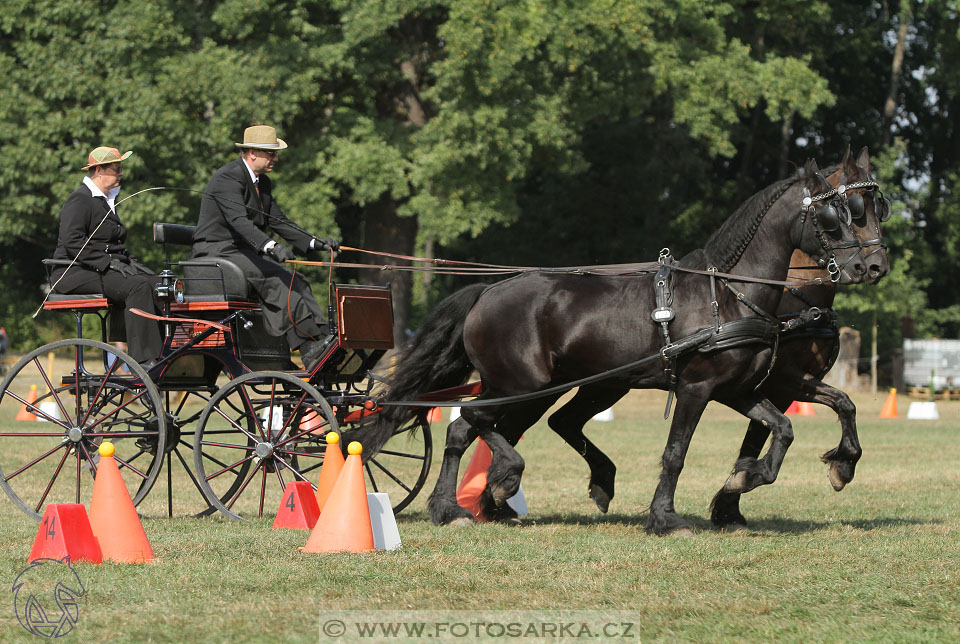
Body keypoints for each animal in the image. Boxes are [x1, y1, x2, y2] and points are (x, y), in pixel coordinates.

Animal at [358, 158, 884, 536]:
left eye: (872, 210)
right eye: (835, 216)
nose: (869, 267)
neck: (730, 294)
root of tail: (487, 291)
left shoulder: (740, 388)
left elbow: (786, 428)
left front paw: (748, 479)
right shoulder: (698, 387)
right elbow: (676, 453)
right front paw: (666, 518)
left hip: (552, 386)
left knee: (472, 429)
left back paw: (465, 503)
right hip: (523, 384)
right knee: (473, 422)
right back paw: (491, 486)